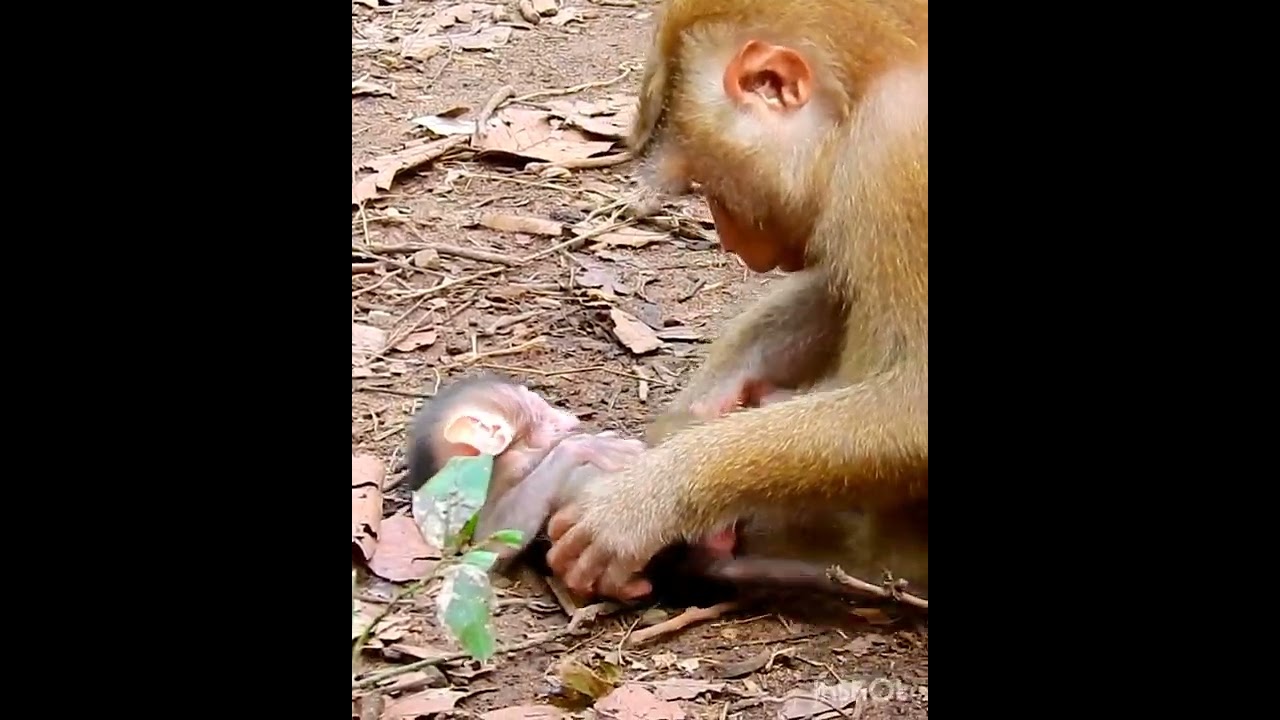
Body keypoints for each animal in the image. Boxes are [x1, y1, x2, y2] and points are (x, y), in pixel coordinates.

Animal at [544, 0, 929, 602]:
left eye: (711, 182)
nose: (730, 240)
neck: (872, 82)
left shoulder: (897, 156)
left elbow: (915, 405)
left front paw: (646, 500)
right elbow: (835, 280)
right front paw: (703, 408)